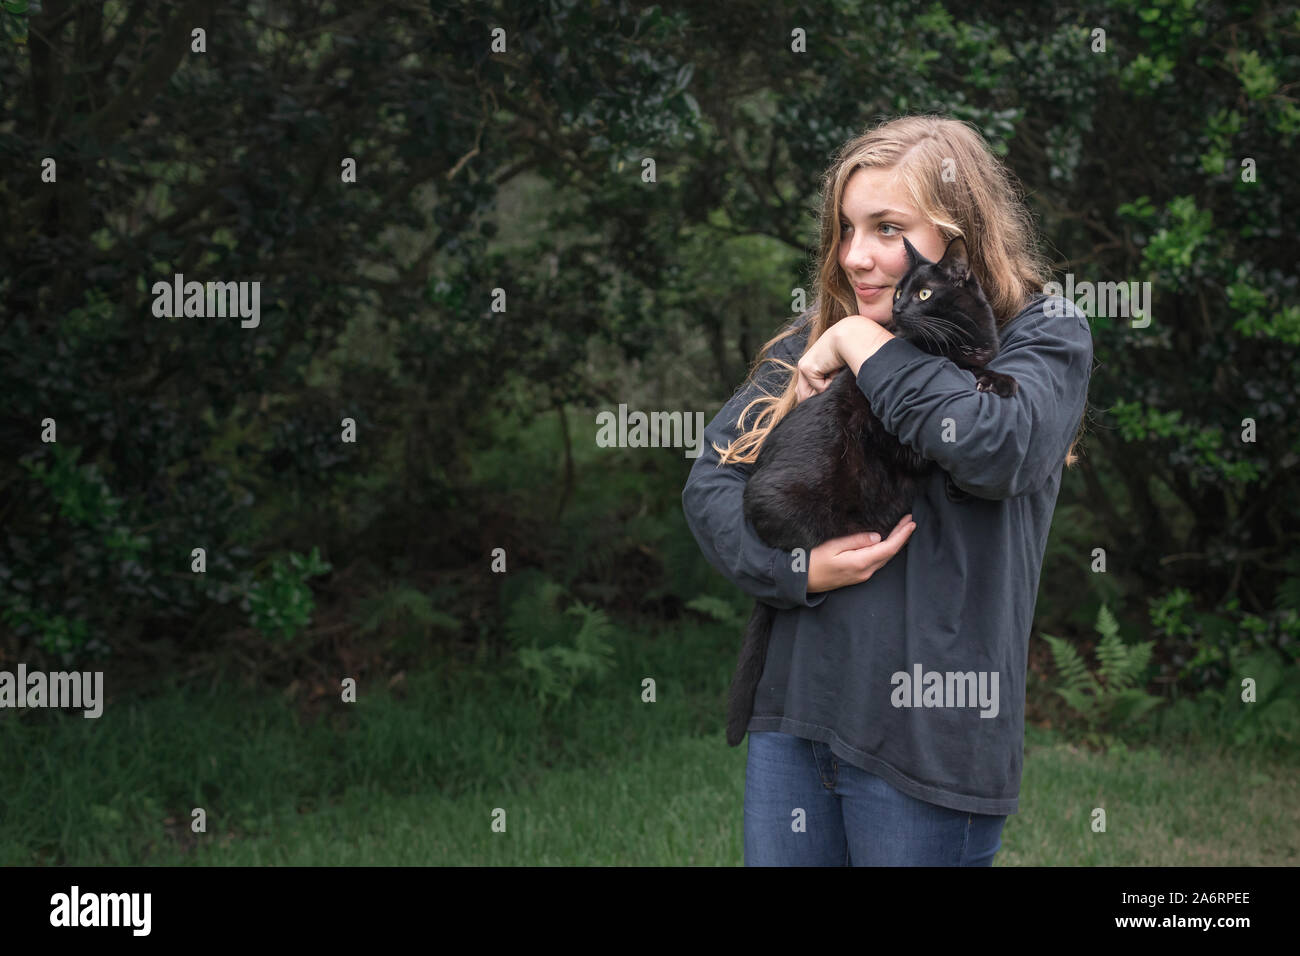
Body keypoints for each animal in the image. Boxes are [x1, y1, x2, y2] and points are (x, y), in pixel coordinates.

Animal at [728, 238, 1019, 749]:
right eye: (900, 292)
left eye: (923, 293)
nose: (898, 309)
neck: (959, 343)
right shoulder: (895, 434)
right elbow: (953, 400)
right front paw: (990, 382)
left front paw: (997, 379)